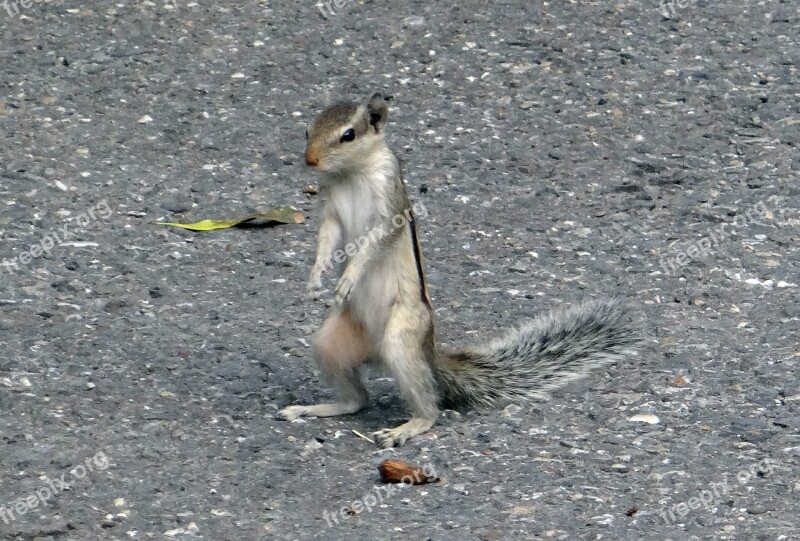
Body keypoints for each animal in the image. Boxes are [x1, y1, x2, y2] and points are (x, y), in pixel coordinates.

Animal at [278, 92, 640, 448]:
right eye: (307, 130)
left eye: (348, 135)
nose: (310, 160)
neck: (352, 172)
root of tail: (429, 353)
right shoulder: (330, 206)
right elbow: (327, 237)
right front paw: (316, 275)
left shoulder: (390, 205)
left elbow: (375, 242)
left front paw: (349, 276)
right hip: (329, 343)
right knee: (357, 400)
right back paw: (315, 407)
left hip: (401, 337)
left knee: (428, 407)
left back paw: (408, 427)